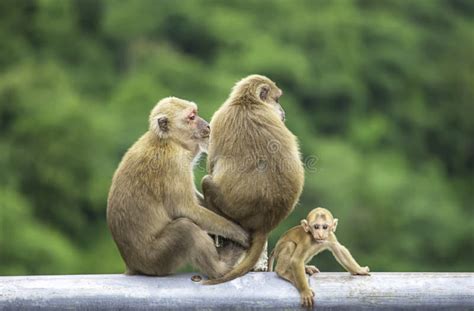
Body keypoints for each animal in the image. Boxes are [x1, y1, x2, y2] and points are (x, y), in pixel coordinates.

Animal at [105, 96, 250, 280]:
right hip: (156, 259)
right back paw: (221, 269)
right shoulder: (175, 163)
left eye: (195, 113)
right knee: (186, 229)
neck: (168, 141)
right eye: (191, 117)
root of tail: (132, 264)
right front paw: (237, 231)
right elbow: (185, 209)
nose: (207, 125)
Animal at [200, 75, 304, 286]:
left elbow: (212, 165)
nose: (283, 112)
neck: (247, 102)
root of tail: (265, 222)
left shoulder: (219, 118)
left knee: (207, 181)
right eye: (278, 99)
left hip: (233, 209)